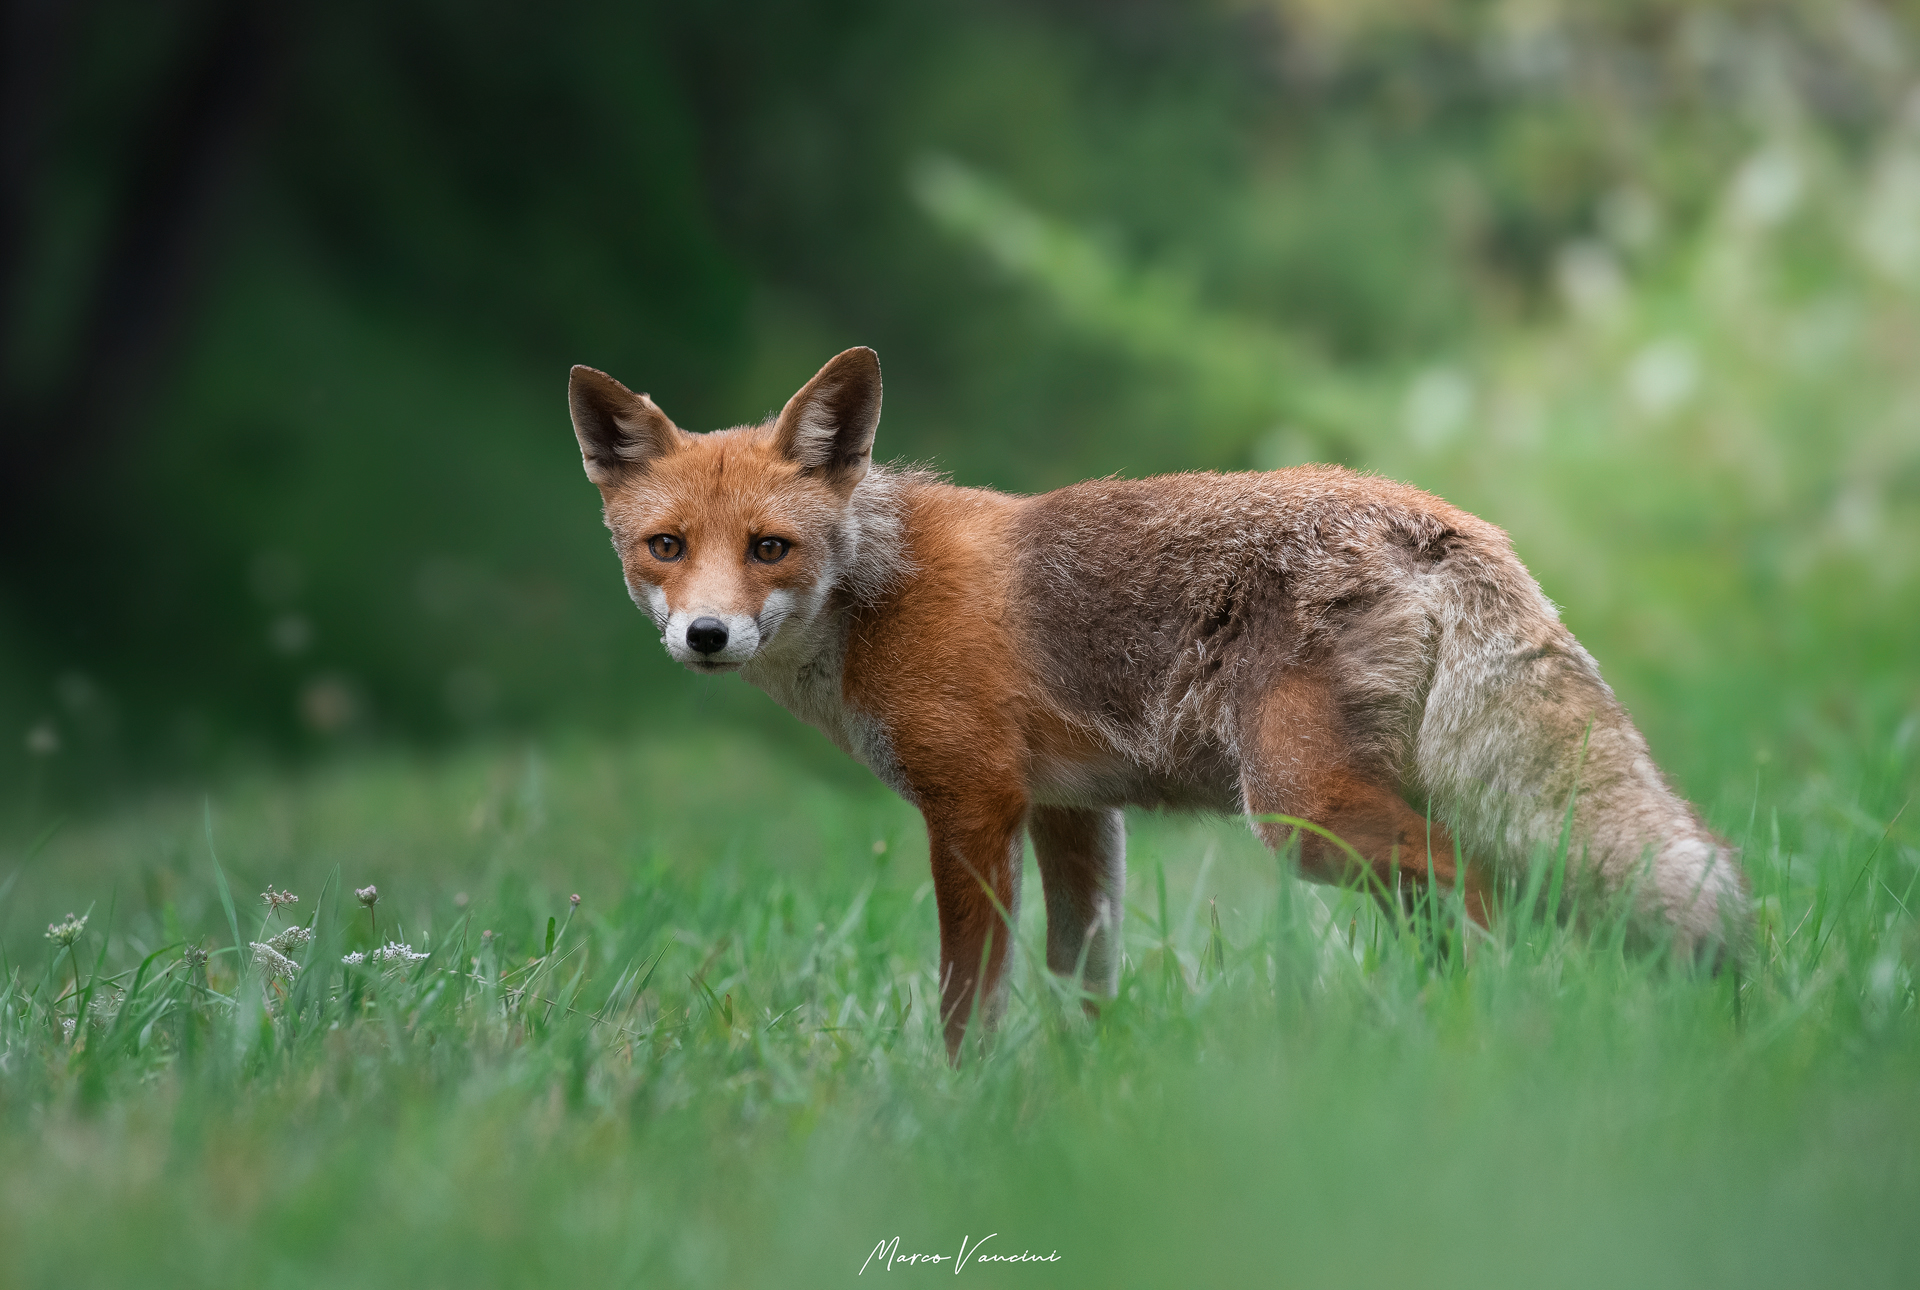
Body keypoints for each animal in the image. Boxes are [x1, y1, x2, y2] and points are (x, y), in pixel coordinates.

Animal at [567, 346, 1749, 1059]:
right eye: (665, 547)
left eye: (770, 548)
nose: (706, 636)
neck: (878, 592)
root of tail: (1436, 513)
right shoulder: (1072, 811)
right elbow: (1081, 974)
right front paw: (1083, 1092)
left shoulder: (972, 806)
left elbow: (967, 999)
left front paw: (959, 1108)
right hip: (1348, 811)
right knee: (1452, 908)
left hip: (1301, 812)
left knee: (1487, 885)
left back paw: (1499, 1030)